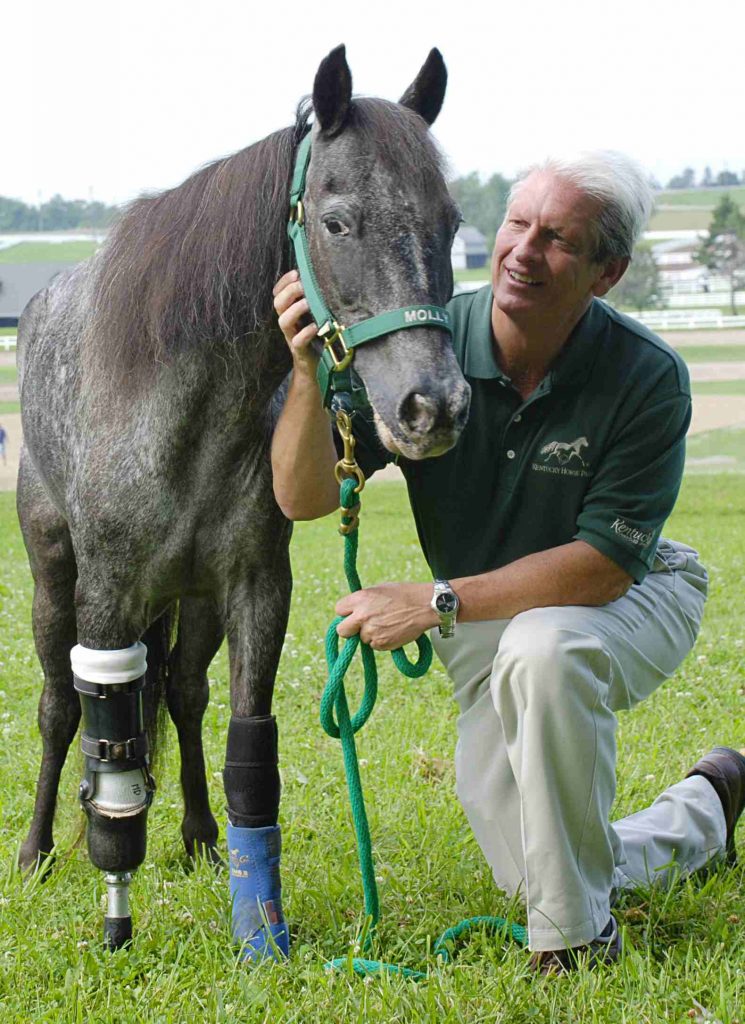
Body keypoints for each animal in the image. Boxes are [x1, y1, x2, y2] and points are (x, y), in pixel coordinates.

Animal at [15, 44, 470, 955]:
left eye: (450, 222)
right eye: (337, 222)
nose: (432, 407)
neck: (181, 408)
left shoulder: (257, 587)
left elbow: (244, 746)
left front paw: (260, 926)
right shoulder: (106, 596)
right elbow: (104, 749)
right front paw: (114, 915)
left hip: (191, 600)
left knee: (183, 695)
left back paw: (195, 837)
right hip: (55, 580)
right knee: (58, 710)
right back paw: (38, 849)